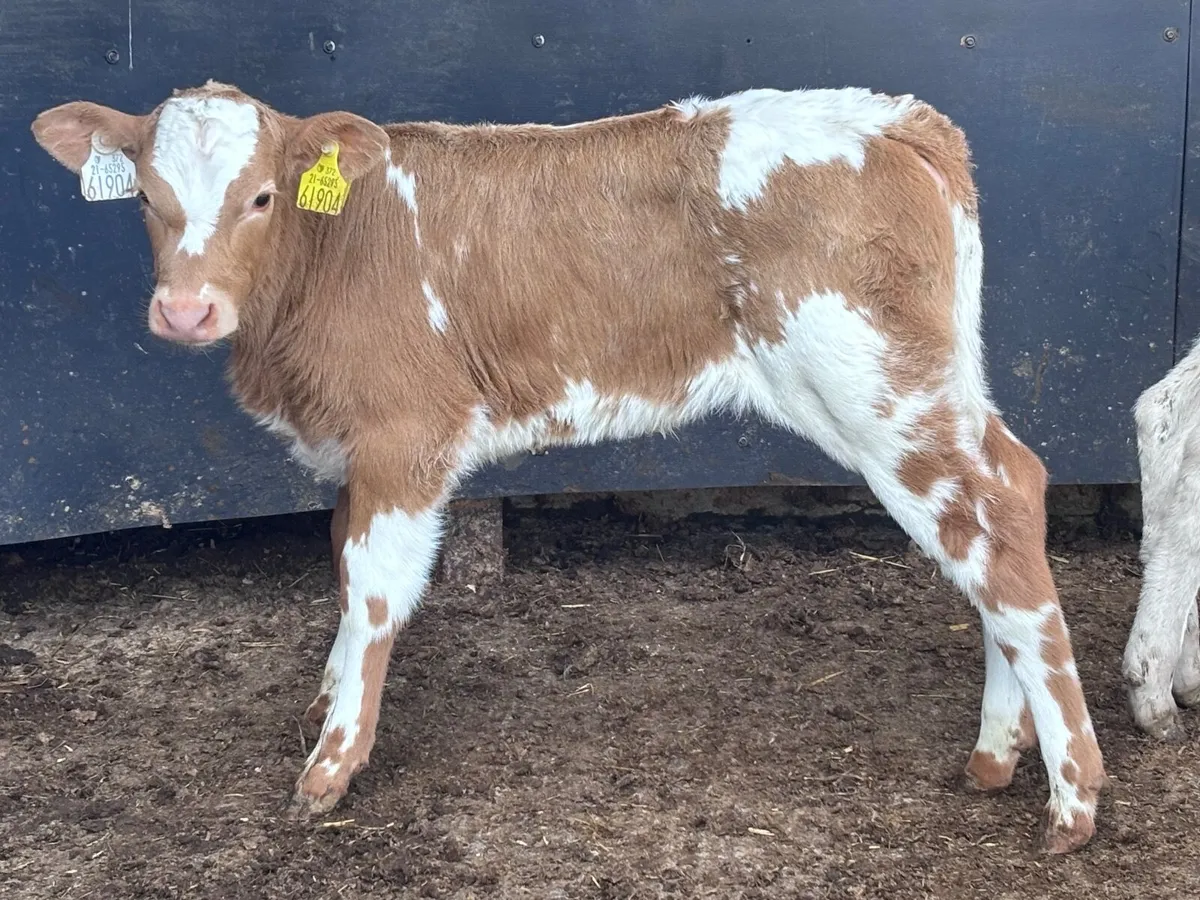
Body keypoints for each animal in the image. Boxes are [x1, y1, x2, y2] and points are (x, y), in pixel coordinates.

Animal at [31, 80, 1106, 853]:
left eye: (259, 197)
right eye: (149, 200)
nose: (186, 311)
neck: (324, 261)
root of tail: (892, 117)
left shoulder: (405, 433)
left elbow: (374, 588)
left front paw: (332, 766)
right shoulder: (353, 448)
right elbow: (337, 564)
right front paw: (327, 698)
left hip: (876, 388)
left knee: (992, 521)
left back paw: (1073, 798)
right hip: (929, 382)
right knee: (1004, 503)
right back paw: (996, 755)